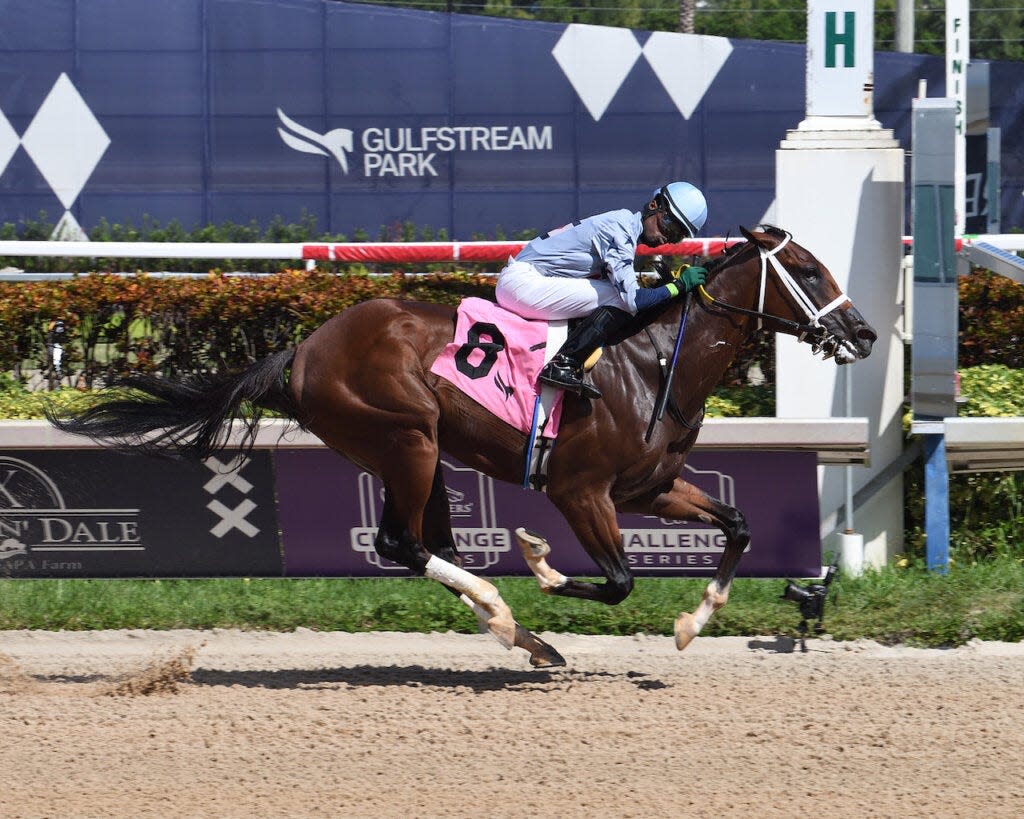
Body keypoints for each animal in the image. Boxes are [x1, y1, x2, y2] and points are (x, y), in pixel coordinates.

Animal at [48, 224, 876, 663]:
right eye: (806, 269)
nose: (863, 332)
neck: (651, 364)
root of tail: (304, 348)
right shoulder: (581, 491)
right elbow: (615, 580)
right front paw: (539, 561)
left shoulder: (649, 486)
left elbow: (737, 524)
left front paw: (693, 621)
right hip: (405, 434)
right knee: (403, 542)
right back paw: (509, 617)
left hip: (407, 452)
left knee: (421, 544)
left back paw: (516, 630)